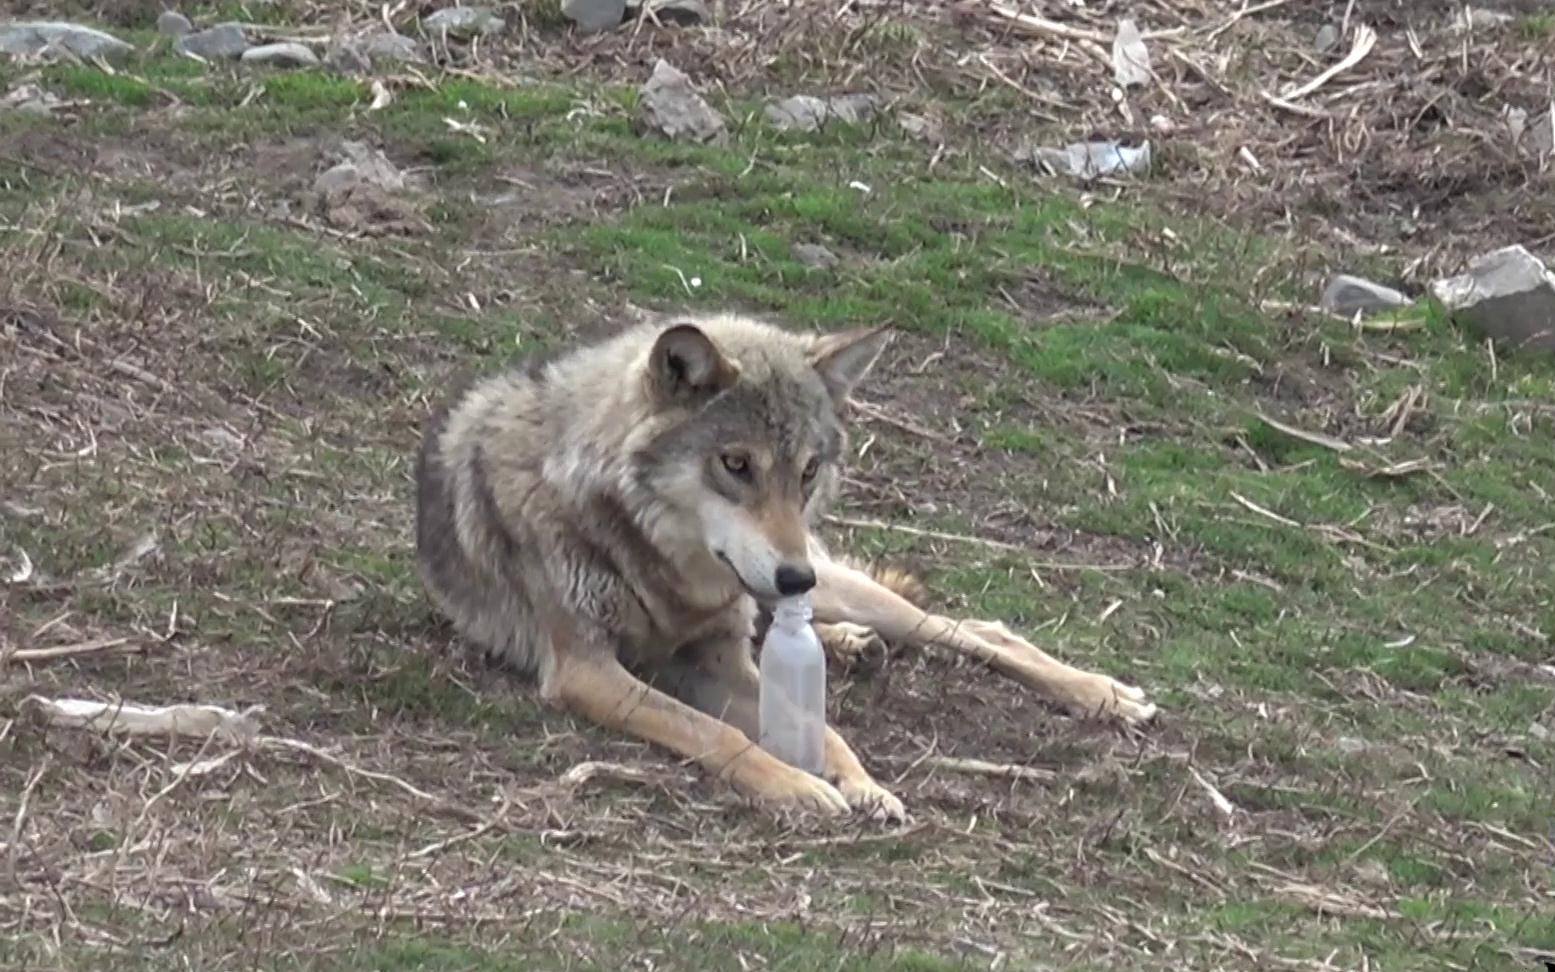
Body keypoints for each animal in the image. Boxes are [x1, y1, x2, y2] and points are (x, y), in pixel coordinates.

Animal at [413, 312, 1156, 821]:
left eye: (806, 470)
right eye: (736, 464)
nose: (793, 575)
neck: (658, 563)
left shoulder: (718, 657)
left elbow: (822, 726)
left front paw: (861, 782)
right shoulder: (586, 670)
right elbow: (714, 732)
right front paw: (798, 784)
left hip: (835, 586)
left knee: (973, 630)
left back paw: (1103, 693)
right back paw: (851, 646)